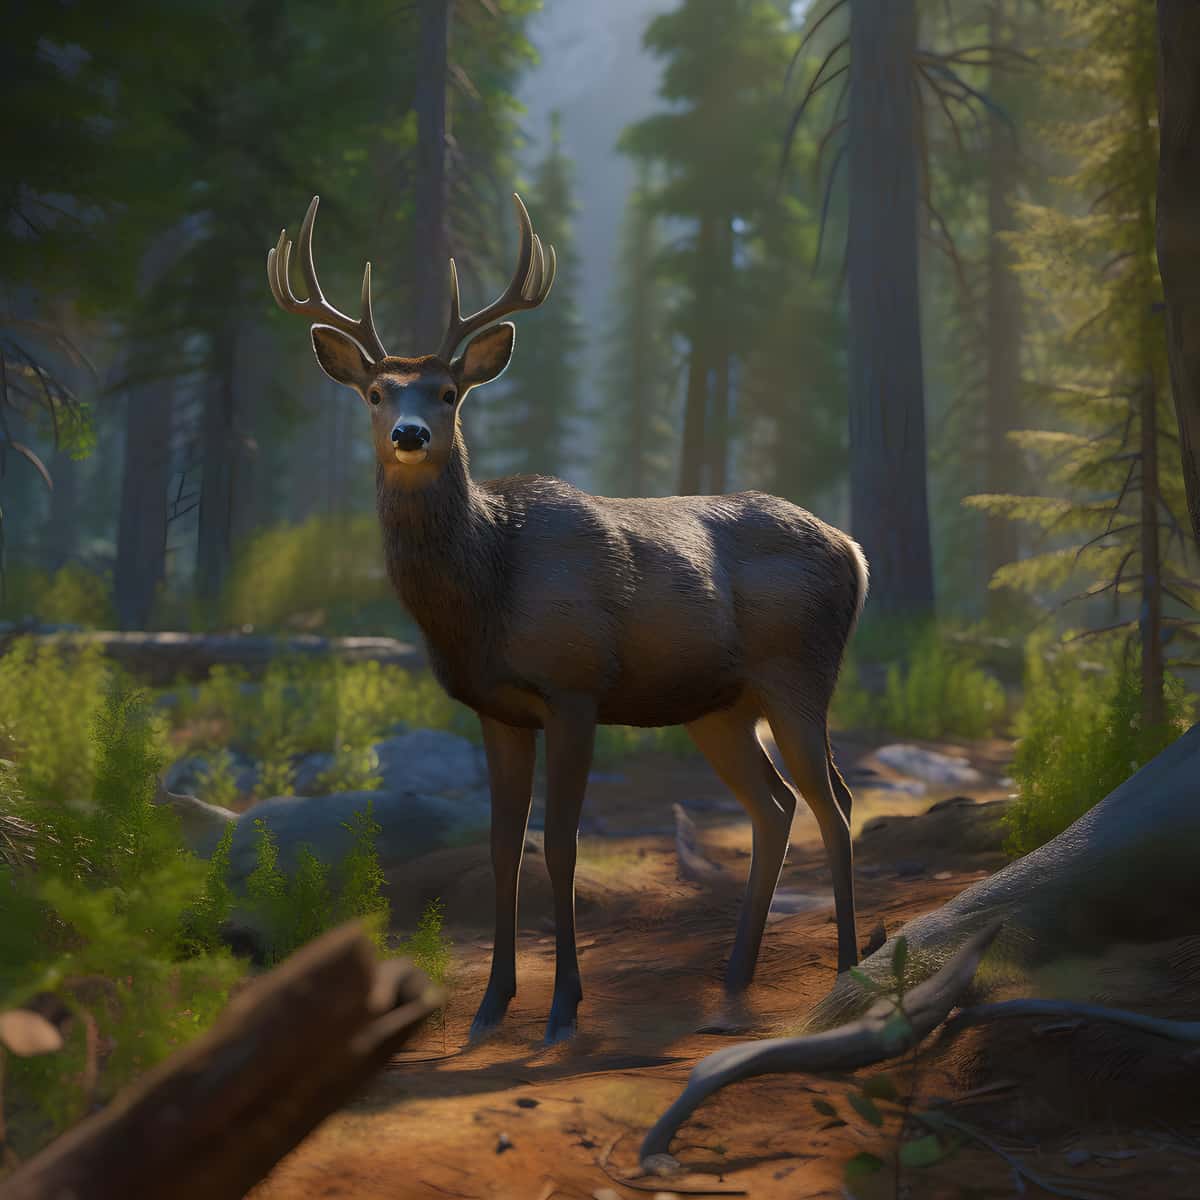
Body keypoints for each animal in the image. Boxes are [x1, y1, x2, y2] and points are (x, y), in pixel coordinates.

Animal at [266, 193, 868, 1044]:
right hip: (719, 708)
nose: (410, 436)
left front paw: (562, 1009)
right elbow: (500, 847)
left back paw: (850, 971)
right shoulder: (496, 711)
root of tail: (853, 550)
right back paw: (733, 980)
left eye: (448, 392)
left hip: (799, 674)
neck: (487, 589)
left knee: (835, 803)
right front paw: (490, 1007)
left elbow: (558, 846)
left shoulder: (575, 688)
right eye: (377, 393)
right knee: (776, 805)